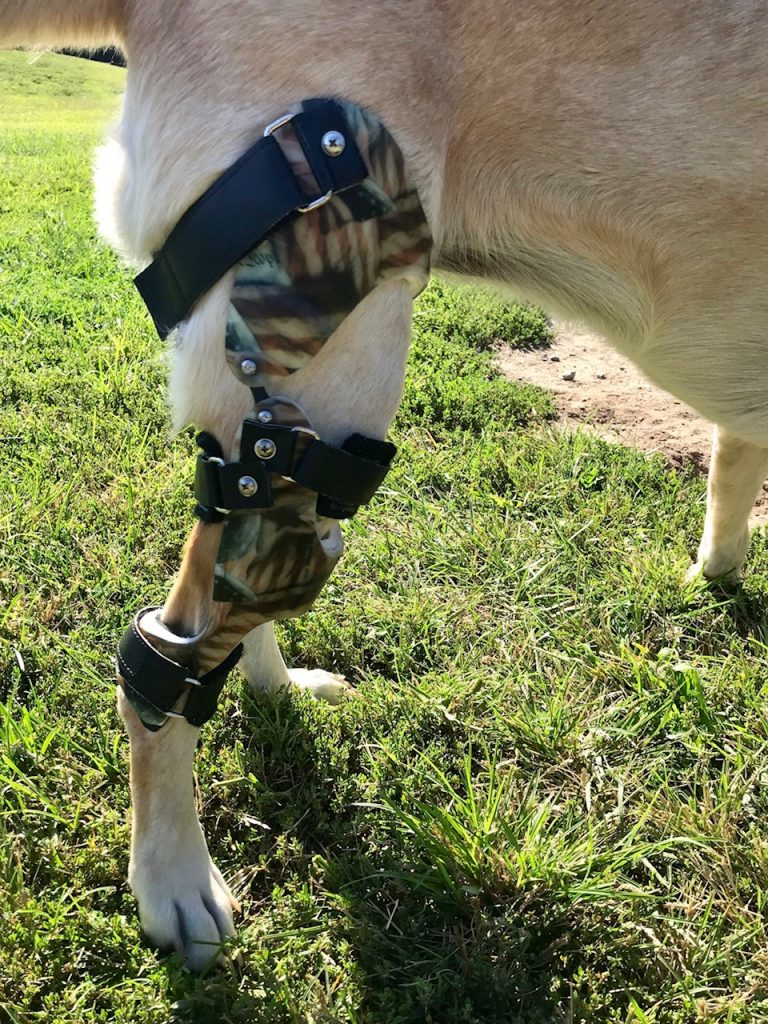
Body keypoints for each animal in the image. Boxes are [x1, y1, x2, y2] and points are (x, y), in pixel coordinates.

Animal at [4, 0, 768, 969]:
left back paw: (275, 687)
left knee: (249, 554)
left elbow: (731, 468)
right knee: (186, 629)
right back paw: (173, 879)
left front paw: (718, 570)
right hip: (335, 343)